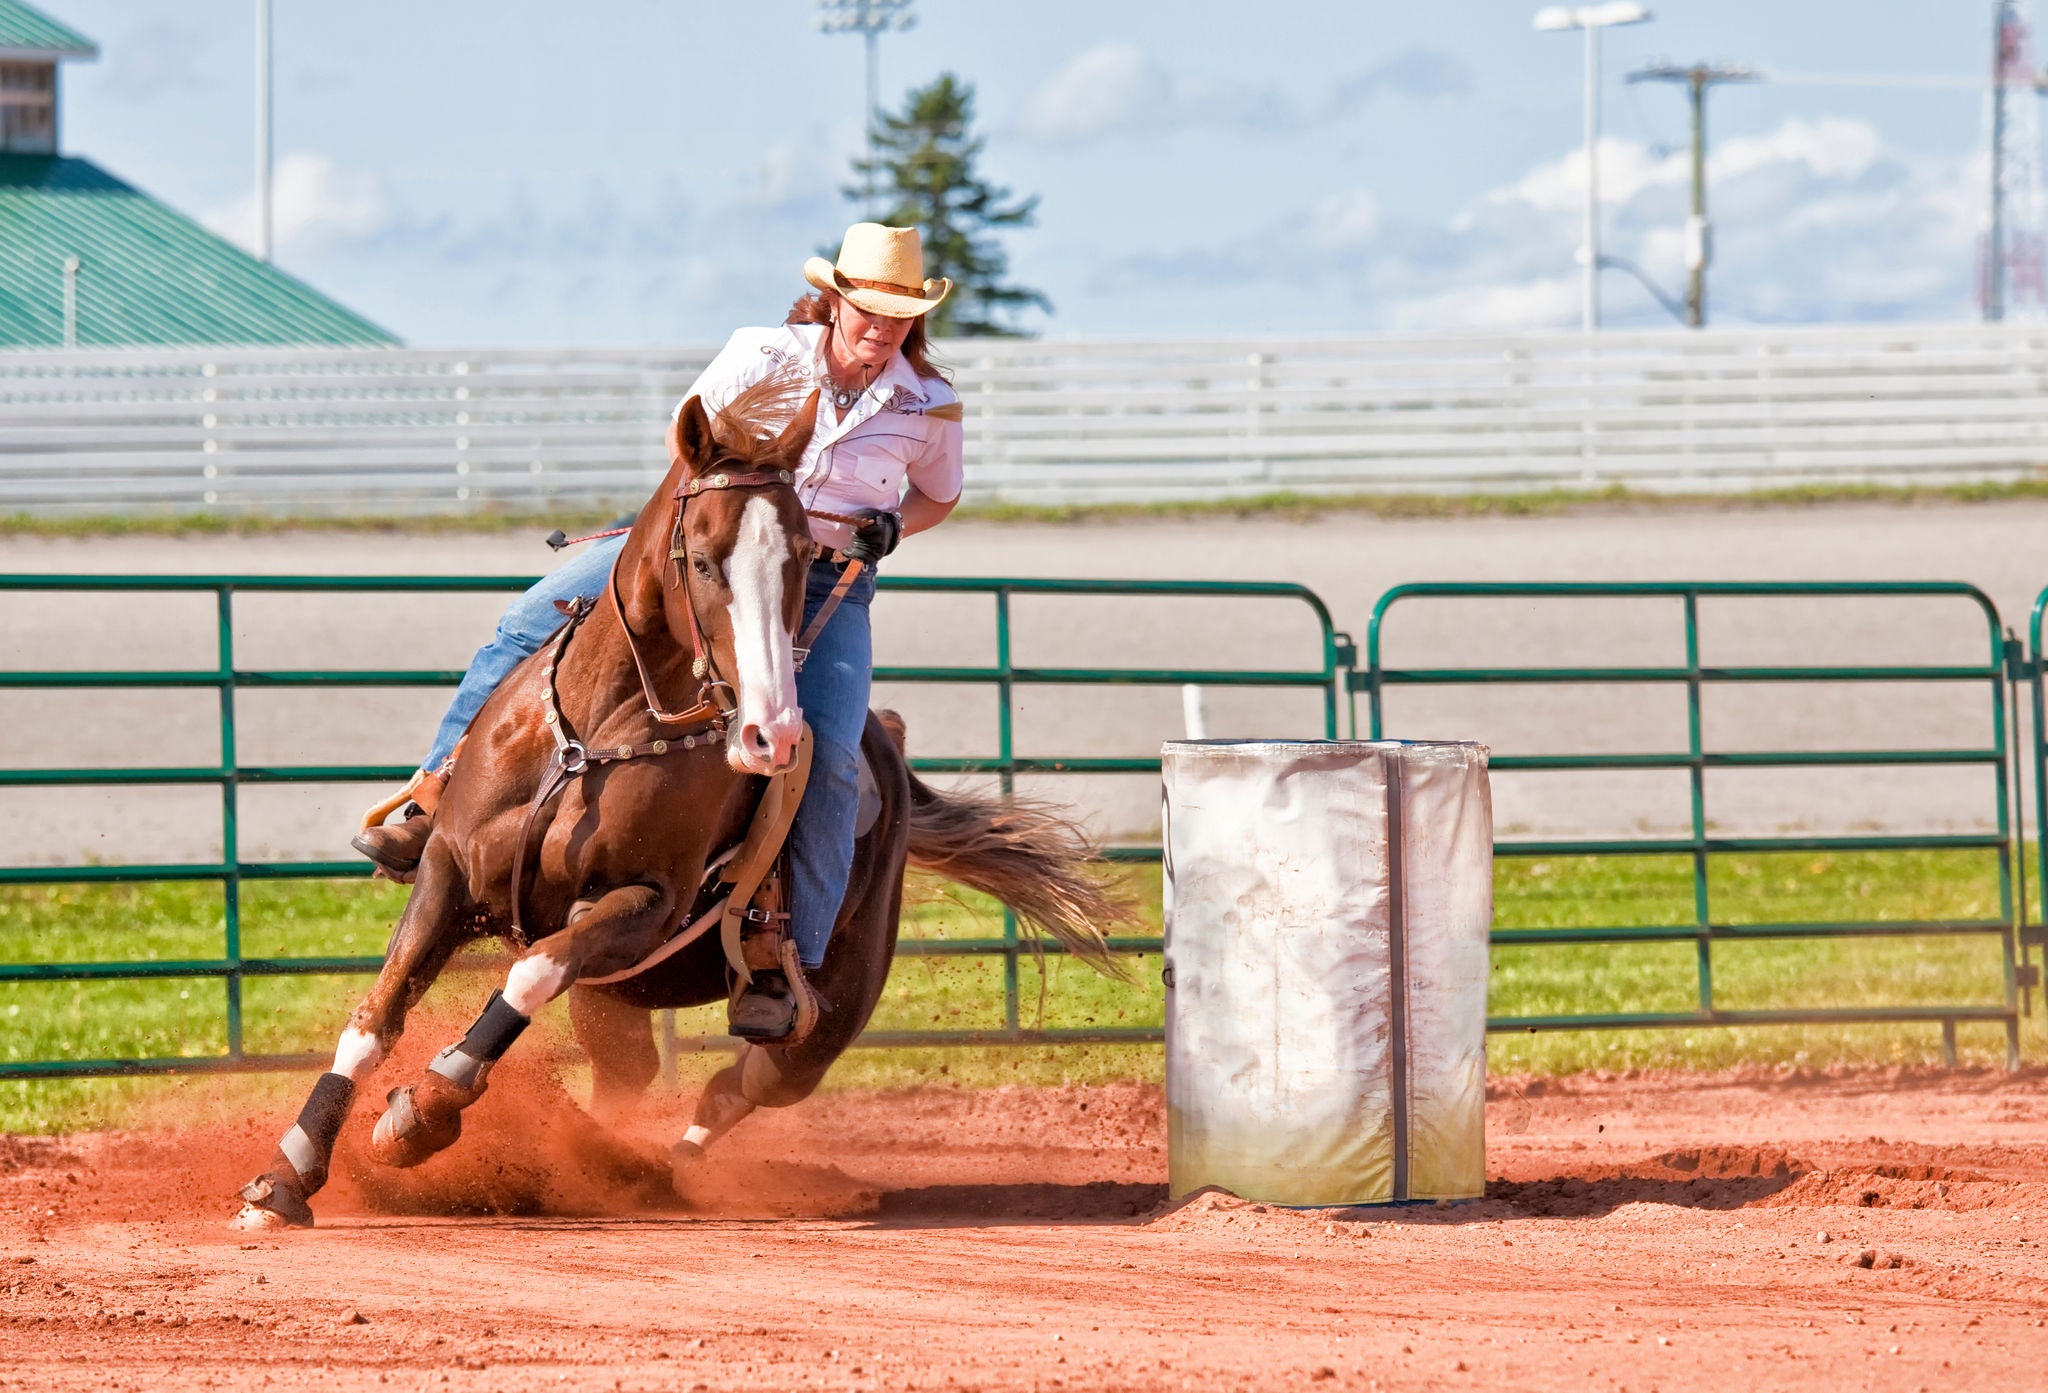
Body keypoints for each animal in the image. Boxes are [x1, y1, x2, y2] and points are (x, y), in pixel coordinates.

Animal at [232, 374, 1130, 1220]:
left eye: (803, 556)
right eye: (701, 558)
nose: (772, 728)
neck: (591, 734)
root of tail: (890, 747)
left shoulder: (641, 907)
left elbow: (530, 969)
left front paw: (422, 1113)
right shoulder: (449, 873)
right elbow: (376, 1015)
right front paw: (287, 1174)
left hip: (823, 1016)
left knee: (744, 1082)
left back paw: (659, 1168)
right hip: (618, 1004)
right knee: (630, 1076)